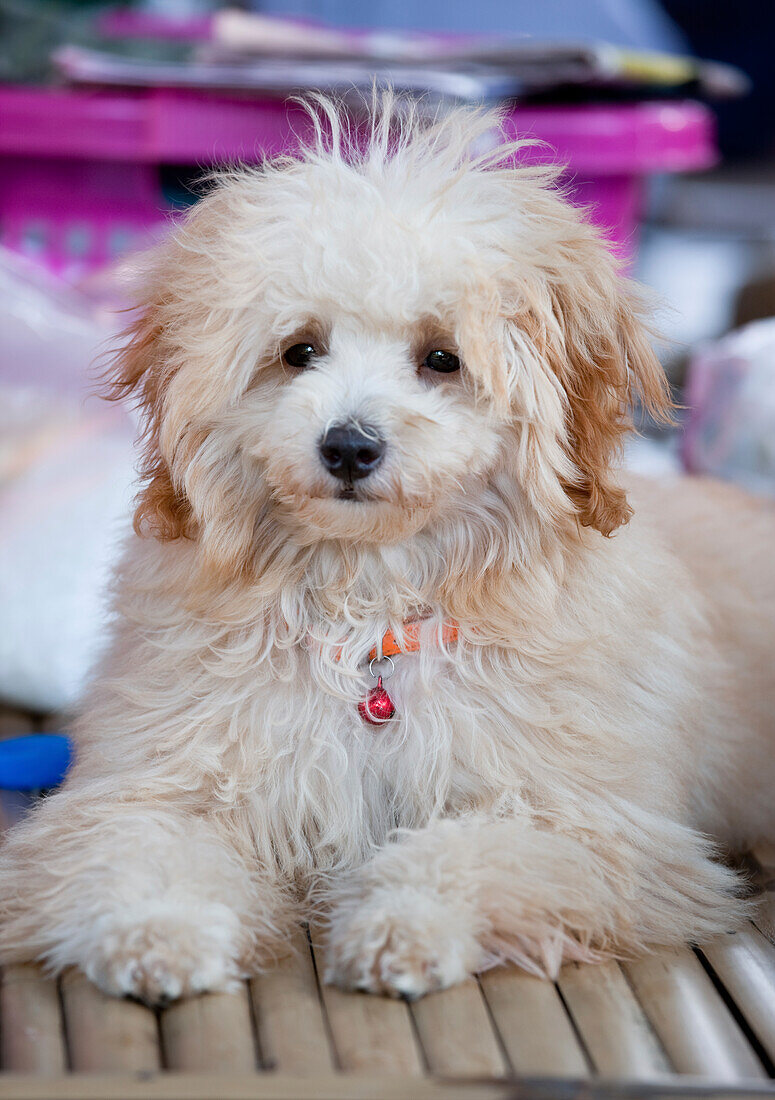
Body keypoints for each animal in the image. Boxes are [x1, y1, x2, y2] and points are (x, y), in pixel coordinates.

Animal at [1, 99, 773, 1003]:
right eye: (299, 350)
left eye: (441, 358)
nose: (348, 446)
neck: (367, 607)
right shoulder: (158, 781)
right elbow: (140, 847)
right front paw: (154, 931)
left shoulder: (587, 822)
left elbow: (469, 853)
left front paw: (401, 924)